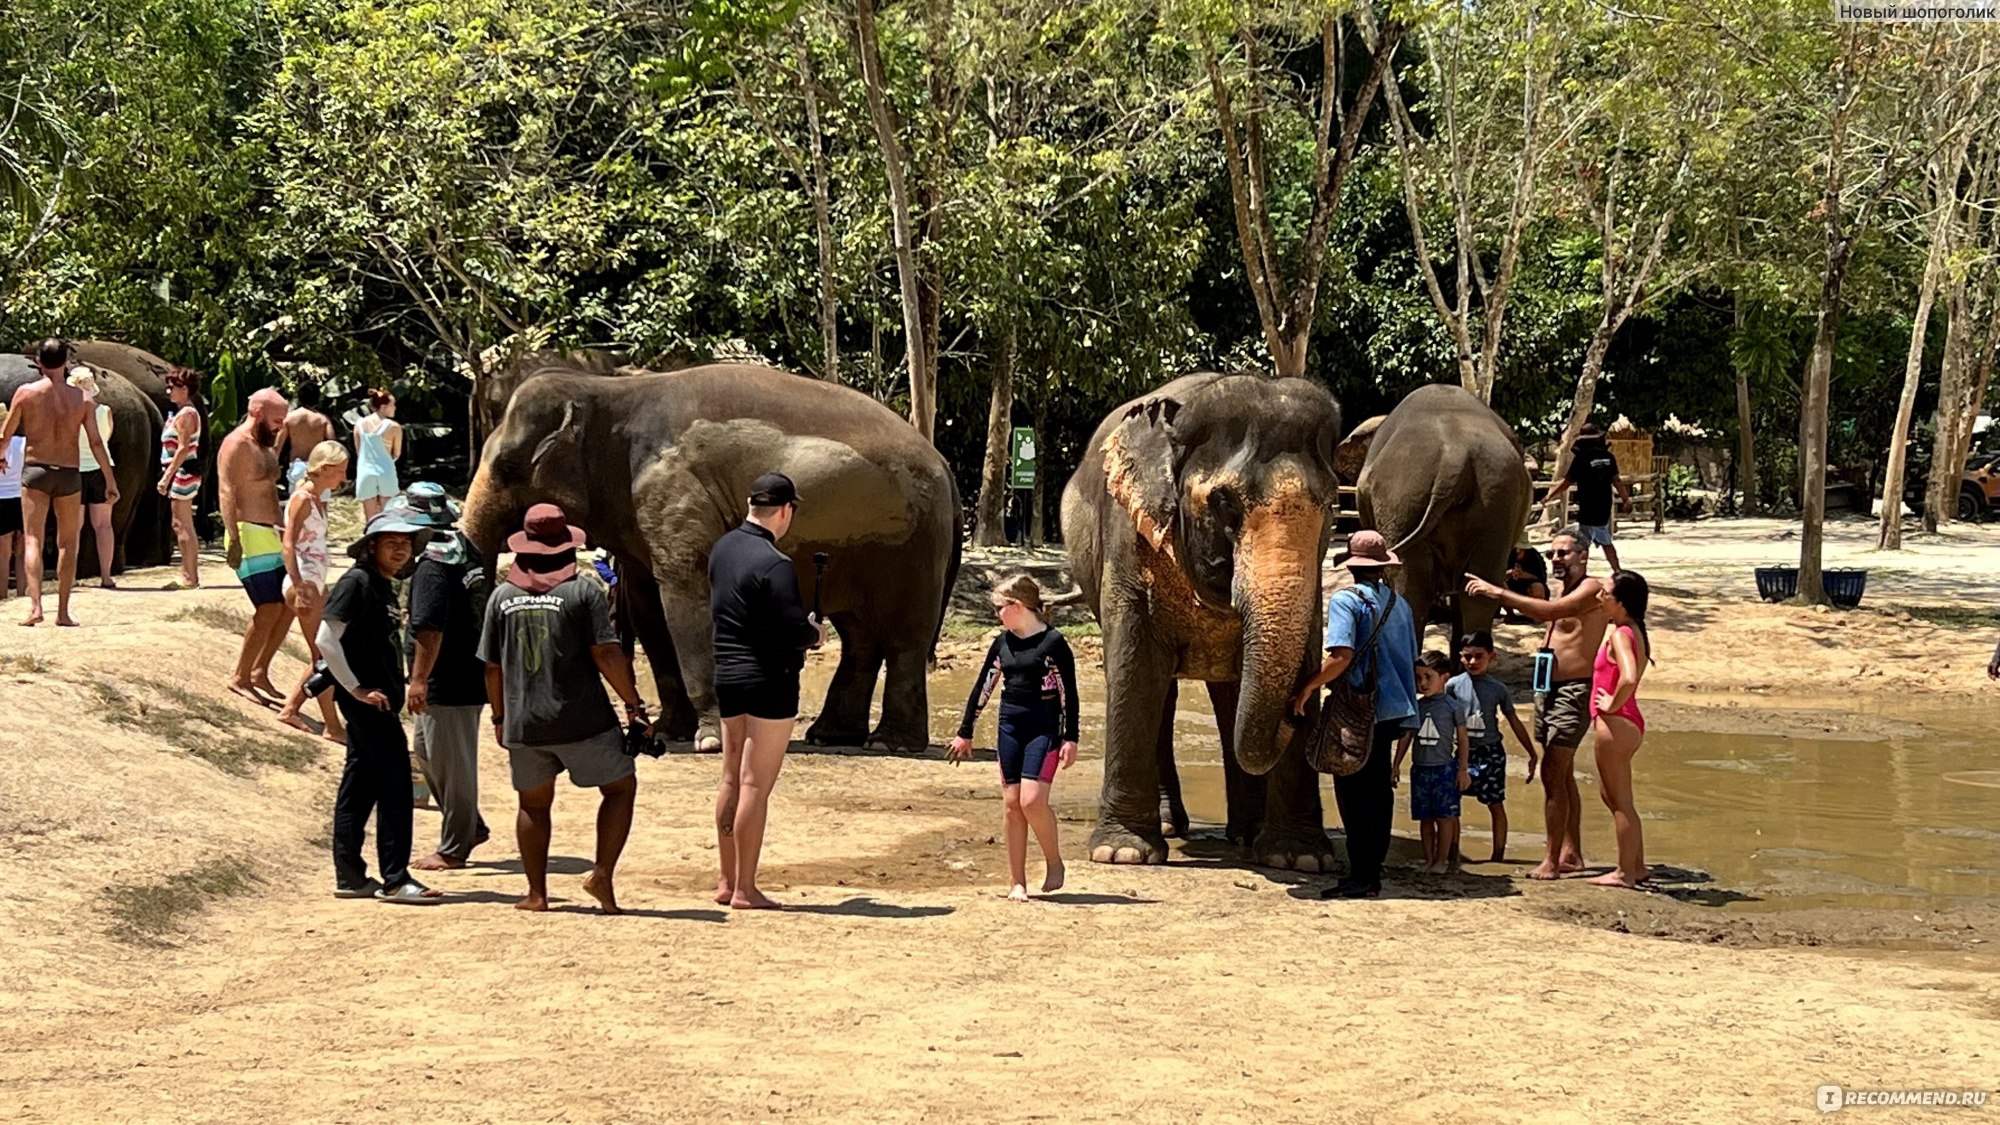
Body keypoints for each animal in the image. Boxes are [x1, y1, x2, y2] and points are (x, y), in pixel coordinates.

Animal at [460, 358, 960, 748]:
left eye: (508, 468)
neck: (607, 389)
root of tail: (944, 465)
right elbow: (648, 610)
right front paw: (668, 733)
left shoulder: (674, 493)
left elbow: (686, 596)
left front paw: (709, 740)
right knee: (861, 635)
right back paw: (831, 736)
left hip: (914, 544)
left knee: (903, 638)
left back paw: (890, 742)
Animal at [1064, 370, 1344, 868]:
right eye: (1224, 501)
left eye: (1331, 504)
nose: (1295, 715)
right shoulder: (1128, 539)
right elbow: (1135, 667)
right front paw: (1122, 854)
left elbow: (1301, 656)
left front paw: (1300, 859)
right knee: (1163, 688)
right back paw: (1171, 828)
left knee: (1229, 694)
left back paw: (1247, 834)